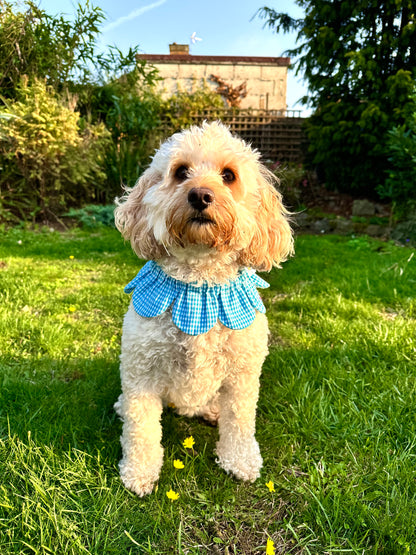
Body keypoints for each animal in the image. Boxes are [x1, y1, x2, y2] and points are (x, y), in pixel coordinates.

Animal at [114, 120, 294, 496]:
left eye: (228, 176)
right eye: (181, 172)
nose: (200, 195)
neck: (199, 284)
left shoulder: (243, 376)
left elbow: (240, 421)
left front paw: (240, 462)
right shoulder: (141, 371)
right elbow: (141, 429)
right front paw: (139, 472)